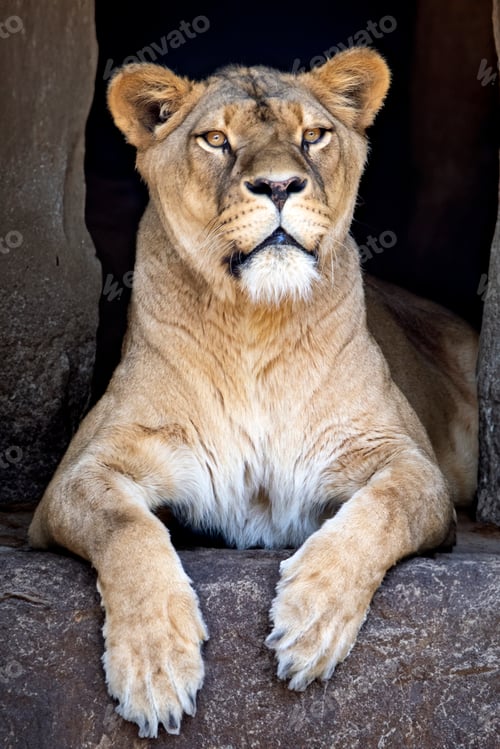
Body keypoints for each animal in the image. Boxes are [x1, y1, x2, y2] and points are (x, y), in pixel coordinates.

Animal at [29, 48, 478, 738]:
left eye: (312, 136)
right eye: (217, 140)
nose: (279, 187)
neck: (255, 327)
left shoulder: (408, 461)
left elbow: (385, 508)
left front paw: (311, 620)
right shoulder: (76, 475)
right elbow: (126, 528)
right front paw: (155, 666)